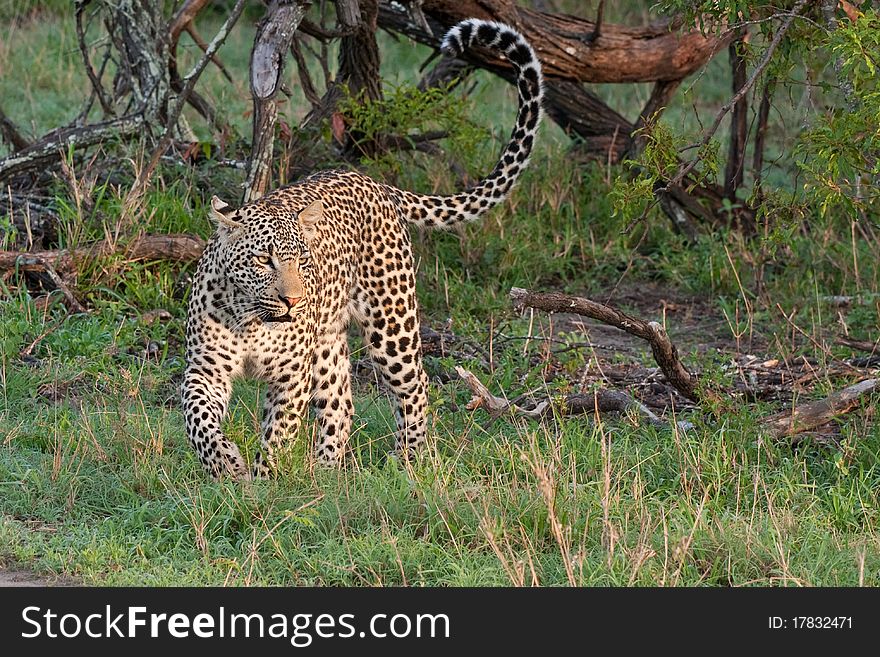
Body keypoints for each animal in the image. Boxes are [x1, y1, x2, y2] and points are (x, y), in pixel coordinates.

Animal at [182, 18, 544, 480]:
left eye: (301, 260)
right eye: (264, 259)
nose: (294, 301)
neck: (251, 320)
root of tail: (374, 183)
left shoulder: (290, 377)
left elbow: (279, 432)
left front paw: (264, 479)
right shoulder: (205, 369)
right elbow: (197, 418)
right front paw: (225, 462)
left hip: (392, 324)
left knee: (415, 387)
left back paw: (408, 460)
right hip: (328, 340)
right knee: (340, 403)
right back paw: (326, 472)